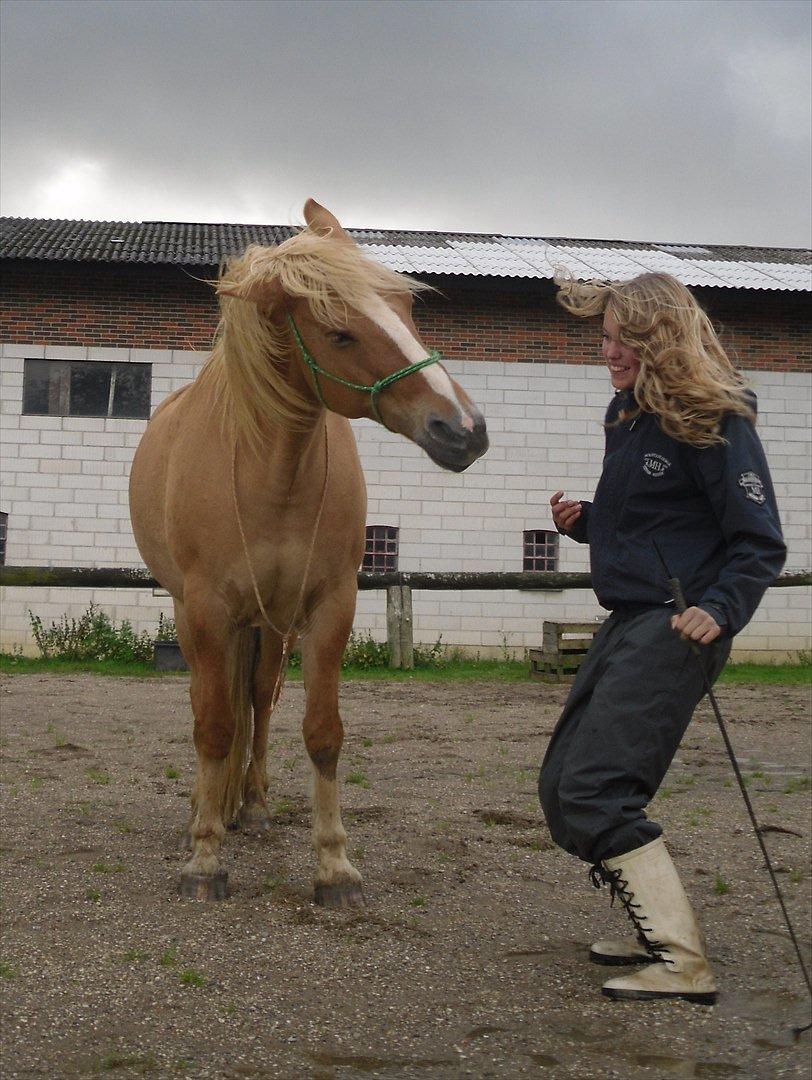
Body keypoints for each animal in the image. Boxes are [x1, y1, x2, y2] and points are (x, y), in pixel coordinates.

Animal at [128, 200, 488, 902]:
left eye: (406, 306)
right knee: (215, 708)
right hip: (201, 616)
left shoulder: (328, 606)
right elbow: (213, 726)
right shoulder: (207, 611)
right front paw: (205, 856)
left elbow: (321, 732)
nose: (462, 430)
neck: (273, 471)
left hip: (270, 626)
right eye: (337, 333)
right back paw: (206, 809)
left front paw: (333, 865)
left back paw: (253, 805)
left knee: (258, 702)